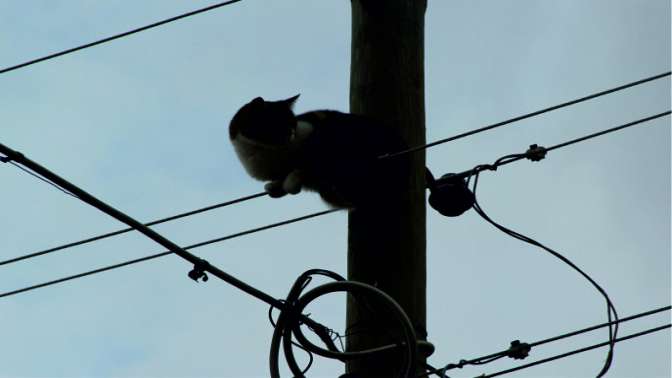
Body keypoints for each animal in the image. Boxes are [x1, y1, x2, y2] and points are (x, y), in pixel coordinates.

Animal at [231, 94, 406, 207]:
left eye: (293, 123)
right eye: (276, 124)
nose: (291, 134)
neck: (262, 152)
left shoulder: (313, 132)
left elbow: (306, 166)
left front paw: (290, 182)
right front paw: (275, 186)